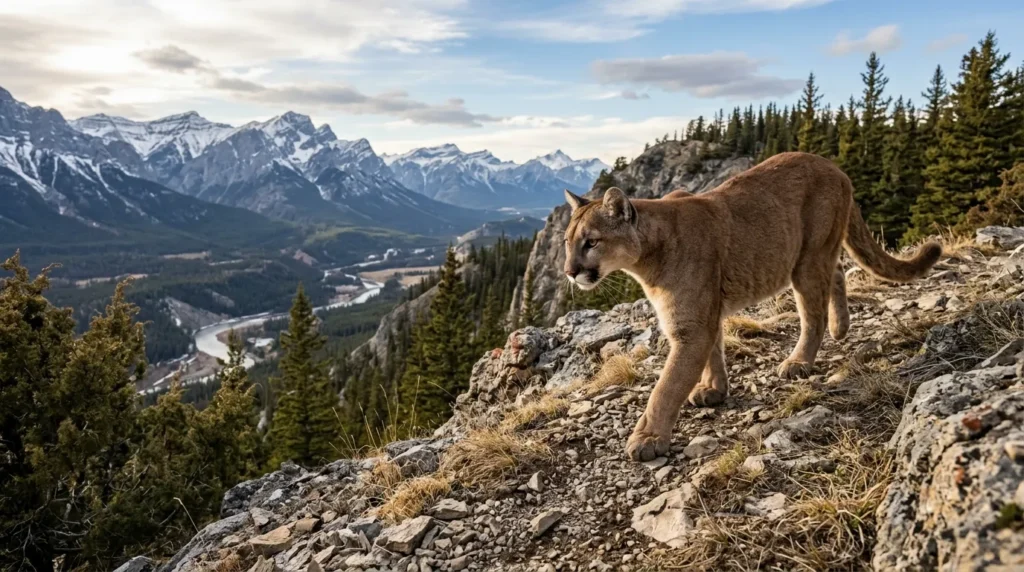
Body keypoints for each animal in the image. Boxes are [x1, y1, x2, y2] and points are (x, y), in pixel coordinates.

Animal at [562, 152, 941, 461]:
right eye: (567, 242)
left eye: (591, 242)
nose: (569, 271)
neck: (648, 255)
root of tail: (835, 166)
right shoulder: (705, 315)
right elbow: (714, 350)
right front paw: (713, 389)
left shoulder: (690, 326)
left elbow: (666, 387)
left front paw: (648, 438)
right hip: (815, 255)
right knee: (836, 273)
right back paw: (841, 326)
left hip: (807, 258)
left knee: (813, 312)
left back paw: (800, 360)